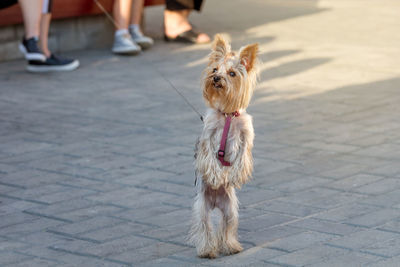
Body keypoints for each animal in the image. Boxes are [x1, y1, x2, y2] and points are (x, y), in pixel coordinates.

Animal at [190, 34, 260, 258]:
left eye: (232, 73)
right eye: (214, 69)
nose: (216, 79)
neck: (228, 115)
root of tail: (215, 202)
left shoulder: (246, 136)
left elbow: (242, 157)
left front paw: (235, 174)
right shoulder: (208, 136)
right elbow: (210, 158)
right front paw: (215, 176)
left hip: (230, 209)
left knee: (227, 226)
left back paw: (230, 246)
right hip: (201, 208)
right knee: (205, 227)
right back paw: (207, 250)